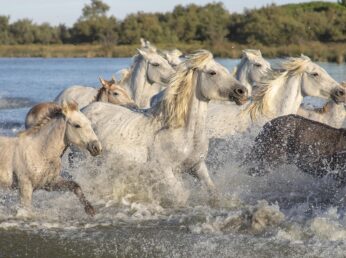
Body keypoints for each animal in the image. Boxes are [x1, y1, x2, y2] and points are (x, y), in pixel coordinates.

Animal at [82, 50, 247, 204]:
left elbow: (213, 191)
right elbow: (181, 196)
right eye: (212, 72)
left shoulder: (197, 166)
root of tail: (85, 109)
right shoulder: (165, 171)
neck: (183, 132)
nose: (242, 91)